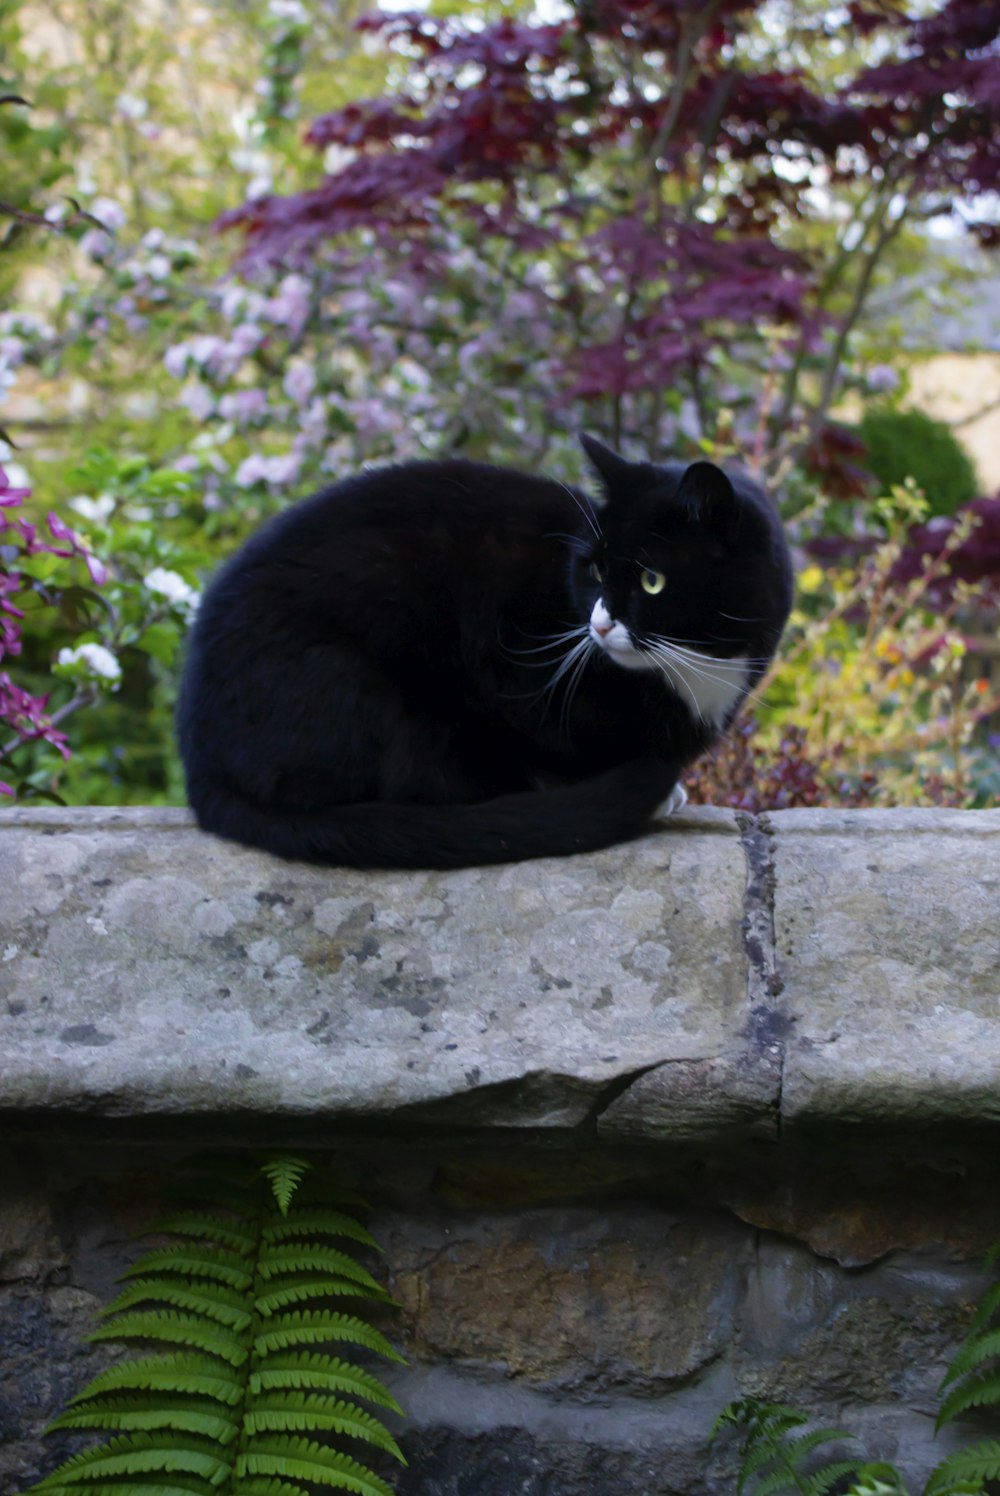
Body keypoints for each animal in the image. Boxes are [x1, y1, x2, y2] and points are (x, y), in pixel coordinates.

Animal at [175, 433, 790, 873]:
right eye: (592, 570)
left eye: (652, 581)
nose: (598, 624)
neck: (695, 666)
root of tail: (201, 767)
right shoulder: (507, 661)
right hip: (353, 678)